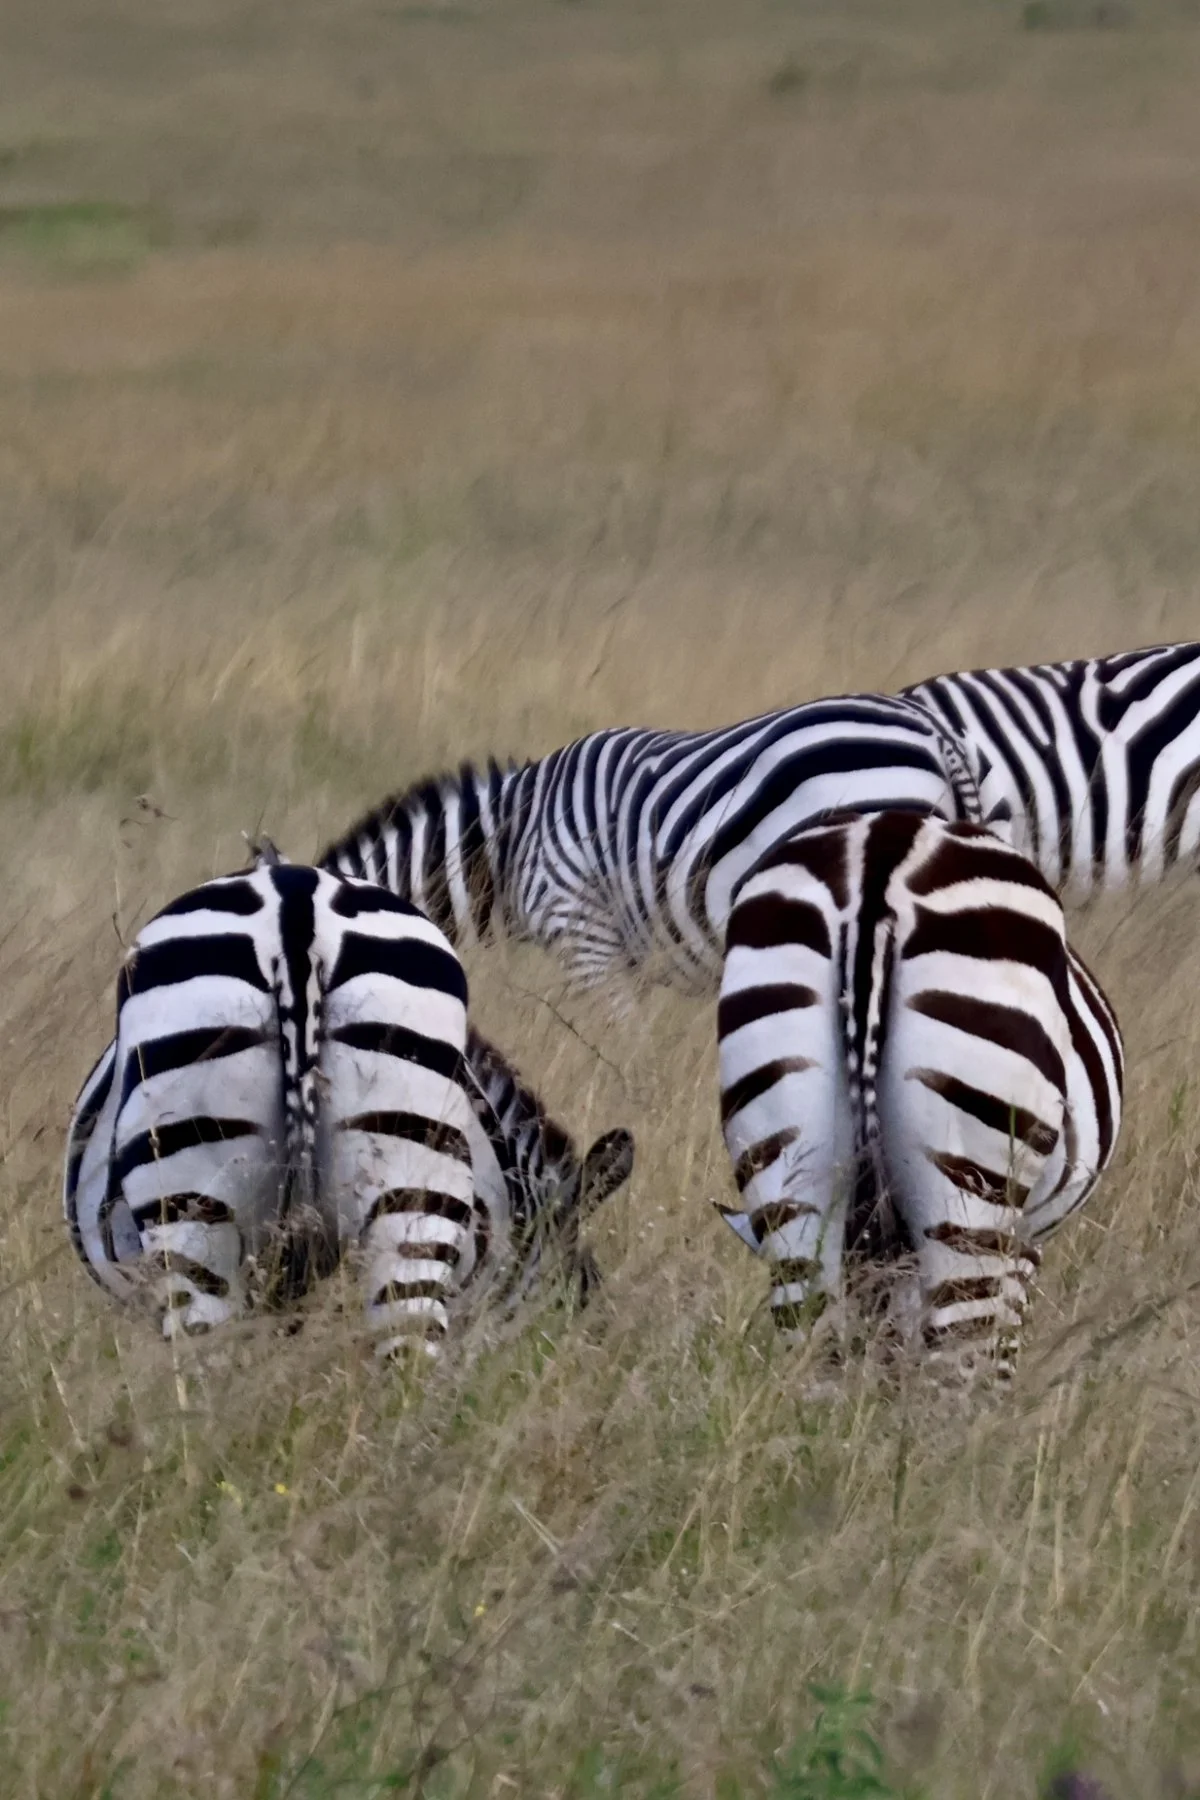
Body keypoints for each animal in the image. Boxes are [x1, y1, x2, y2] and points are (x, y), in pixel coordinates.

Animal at [715, 811, 1124, 1378]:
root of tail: (883, 846)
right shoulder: (1023, 1247)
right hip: (970, 1191)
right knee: (952, 1369)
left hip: (790, 1174)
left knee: (819, 1354)